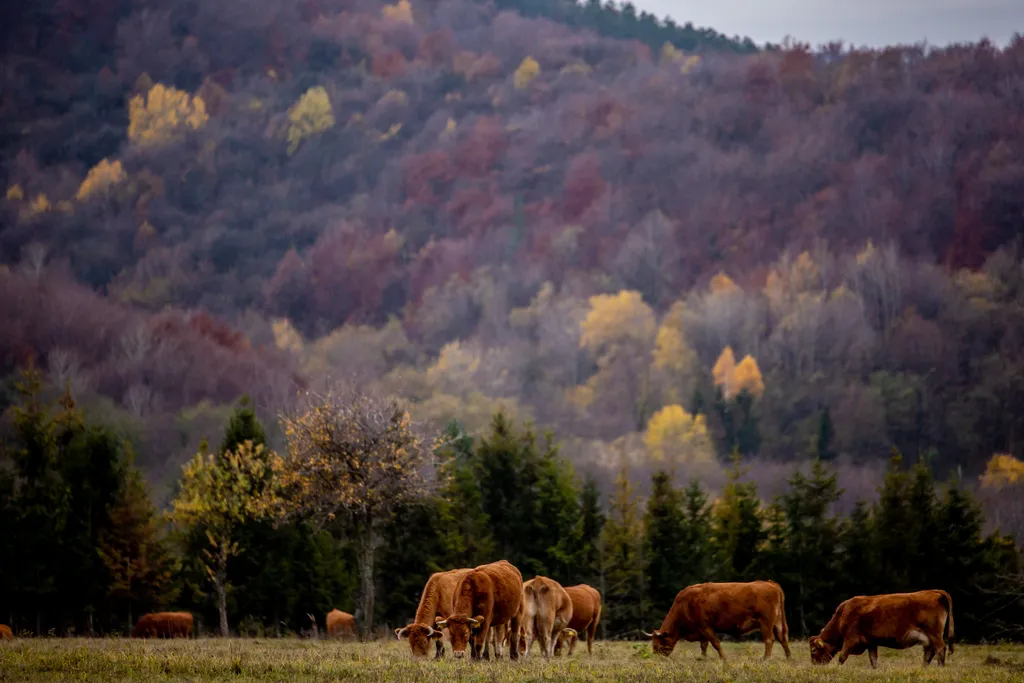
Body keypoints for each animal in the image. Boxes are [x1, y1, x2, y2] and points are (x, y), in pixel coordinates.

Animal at [647, 581, 790, 659]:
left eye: (656, 646)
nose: (657, 659)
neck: (683, 605)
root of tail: (770, 583)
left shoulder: (705, 627)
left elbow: (716, 644)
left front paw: (723, 659)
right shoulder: (702, 632)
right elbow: (704, 646)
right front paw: (703, 658)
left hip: (766, 623)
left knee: (769, 640)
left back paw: (765, 658)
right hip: (778, 623)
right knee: (782, 638)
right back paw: (789, 658)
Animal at [811, 589, 954, 667]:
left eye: (813, 650)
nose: (814, 665)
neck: (842, 615)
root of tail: (933, 591)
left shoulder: (850, 639)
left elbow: (842, 658)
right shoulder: (871, 642)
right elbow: (873, 660)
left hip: (935, 634)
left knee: (940, 649)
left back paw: (940, 667)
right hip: (927, 639)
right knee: (929, 653)